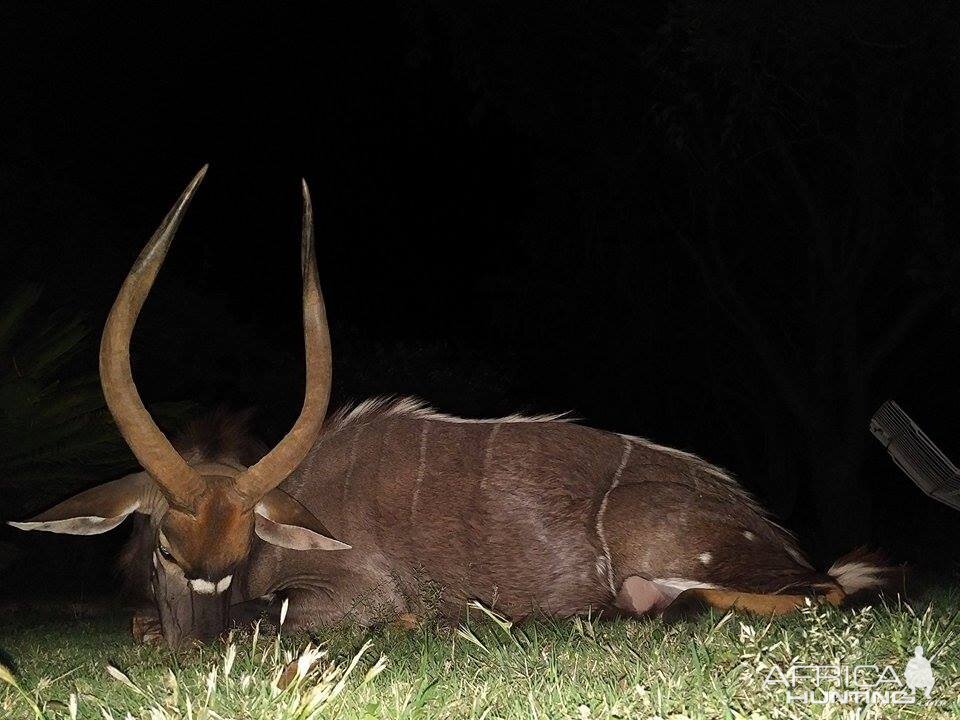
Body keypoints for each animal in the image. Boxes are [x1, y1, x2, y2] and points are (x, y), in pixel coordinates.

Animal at [9, 167, 892, 648]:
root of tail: (770, 529)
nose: (202, 646)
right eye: (164, 549)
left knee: (822, 593)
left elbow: (287, 613)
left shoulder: (353, 590)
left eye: (235, 554)